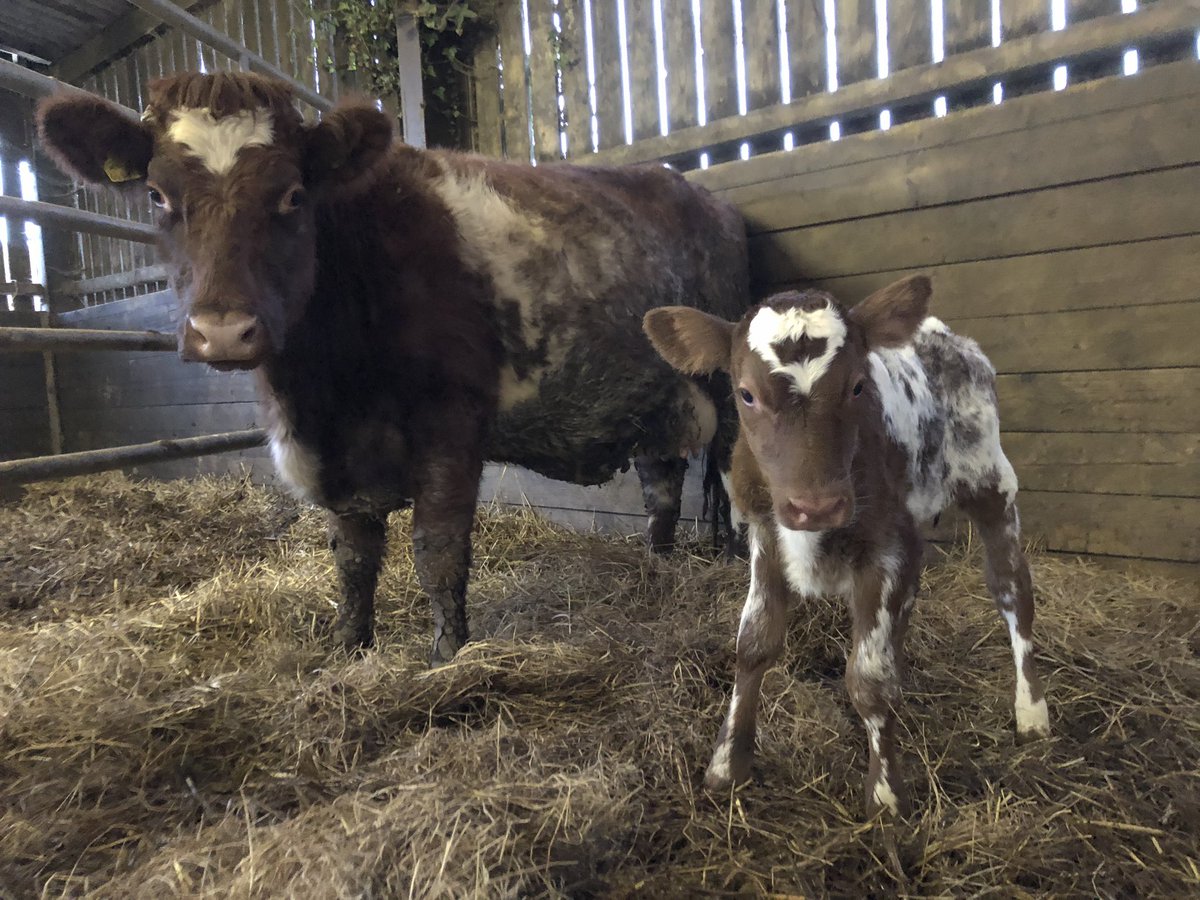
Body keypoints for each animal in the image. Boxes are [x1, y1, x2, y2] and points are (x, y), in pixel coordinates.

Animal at [36, 72, 748, 664]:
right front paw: (350, 650)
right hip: (653, 395)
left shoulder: (451, 422)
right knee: (662, 485)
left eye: (293, 195)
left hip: (730, 386)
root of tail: (694, 191)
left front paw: (447, 657)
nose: (223, 332)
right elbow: (353, 558)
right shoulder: (337, 456)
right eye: (157, 195)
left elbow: (437, 549)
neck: (328, 390)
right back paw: (656, 567)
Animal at [643, 276, 1051, 816]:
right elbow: (753, 644)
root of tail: (947, 336)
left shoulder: (886, 546)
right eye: (746, 394)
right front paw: (726, 767)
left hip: (990, 478)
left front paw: (885, 795)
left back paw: (1032, 713)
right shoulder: (766, 534)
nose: (815, 506)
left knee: (1011, 589)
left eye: (858, 386)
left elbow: (871, 681)